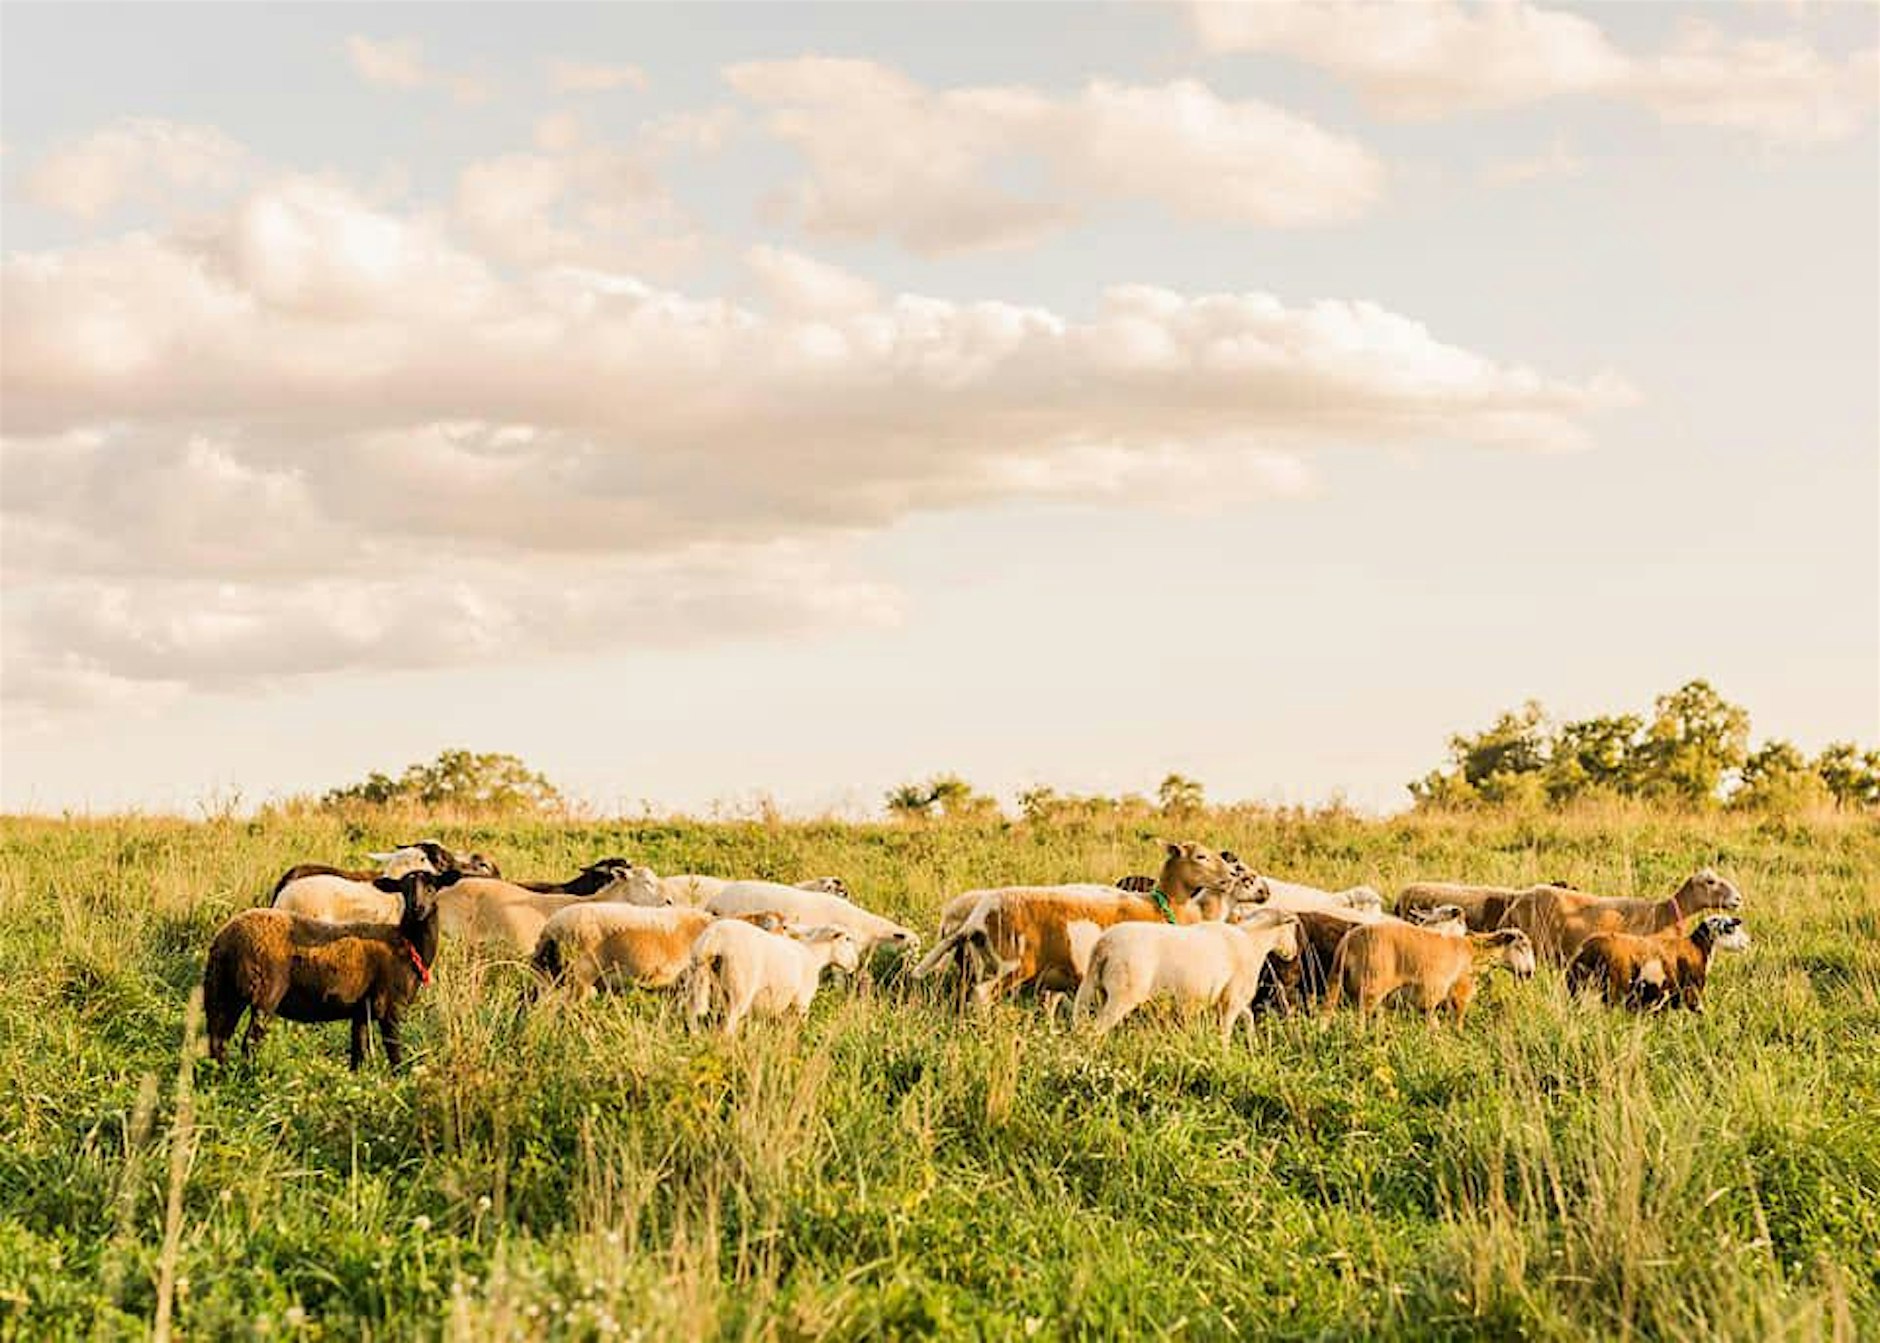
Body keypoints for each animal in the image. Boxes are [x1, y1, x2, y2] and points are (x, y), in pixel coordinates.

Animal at [203, 871, 441, 1069]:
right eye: (404, 888)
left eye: (432, 888)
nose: (417, 908)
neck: (407, 942)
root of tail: (225, 940)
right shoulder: (390, 1006)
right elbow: (395, 1053)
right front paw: (401, 1079)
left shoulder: (361, 1010)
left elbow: (359, 1051)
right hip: (264, 993)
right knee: (249, 1042)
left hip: (222, 991)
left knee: (218, 1041)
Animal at [684, 921, 861, 1035]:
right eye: (847, 939)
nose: (855, 964)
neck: (814, 955)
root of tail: (714, 937)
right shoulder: (802, 1001)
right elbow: (800, 1026)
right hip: (740, 985)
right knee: (729, 1026)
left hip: (698, 976)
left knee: (693, 1011)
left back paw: (695, 1037)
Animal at [1072, 909, 1301, 1042]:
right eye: (1291, 927)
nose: (1294, 951)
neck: (1253, 942)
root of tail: (1104, 944)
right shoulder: (1232, 1000)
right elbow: (1225, 1033)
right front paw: (1225, 1056)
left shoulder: (1226, 999)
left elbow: (1249, 1017)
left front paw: (1253, 1045)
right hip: (1122, 995)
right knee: (1095, 1030)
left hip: (1100, 989)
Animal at [1327, 925, 1535, 1026]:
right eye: (1523, 946)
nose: (1531, 973)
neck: (1476, 952)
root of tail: (1347, 943)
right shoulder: (1460, 993)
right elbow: (1457, 1022)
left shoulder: (1431, 1003)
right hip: (1371, 987)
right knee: (1359, 1021)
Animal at [1566, 915, 1752, 1012]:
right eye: (1730, 929)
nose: (1748, 942)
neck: (1698, 947)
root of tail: (1585, 950)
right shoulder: (1692, 992)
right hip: (1613, 990)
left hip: (1579, 988)